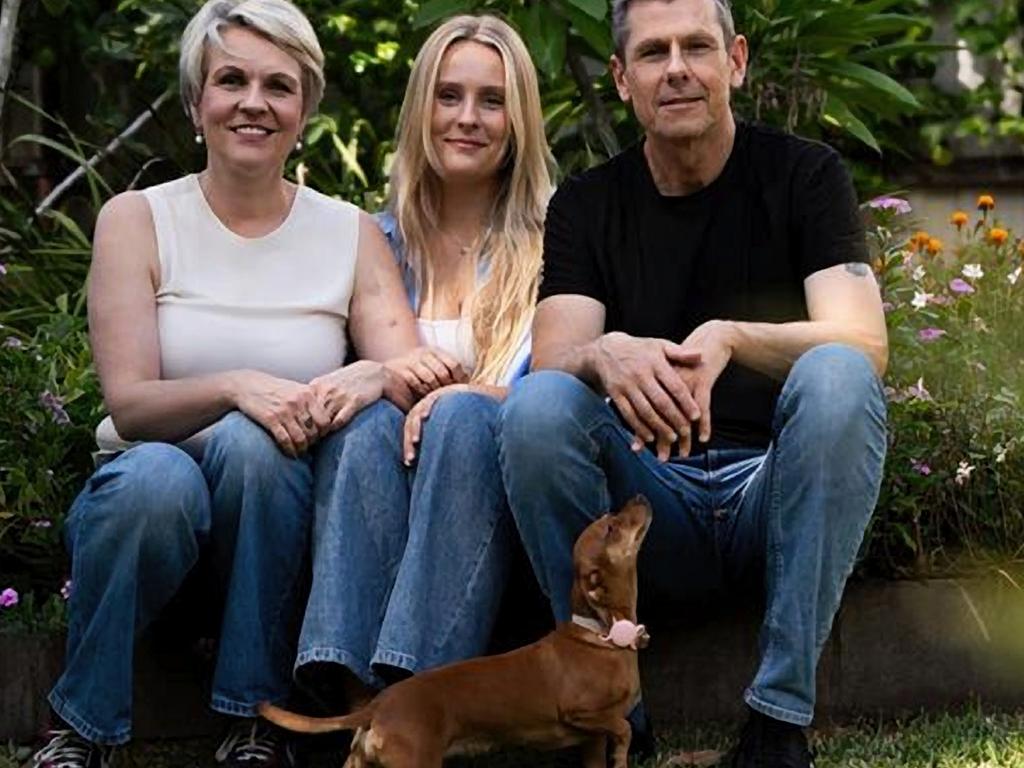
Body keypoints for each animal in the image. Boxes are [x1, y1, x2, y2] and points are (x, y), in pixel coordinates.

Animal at [260, 495, 651, 765]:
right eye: (612, 528)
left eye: (610, 518)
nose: (640, 497)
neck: (601, 636)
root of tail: (376, 707)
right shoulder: (581, 713)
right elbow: (624, 727)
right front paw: (623, 753)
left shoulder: (592, 738)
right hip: (417, 762)